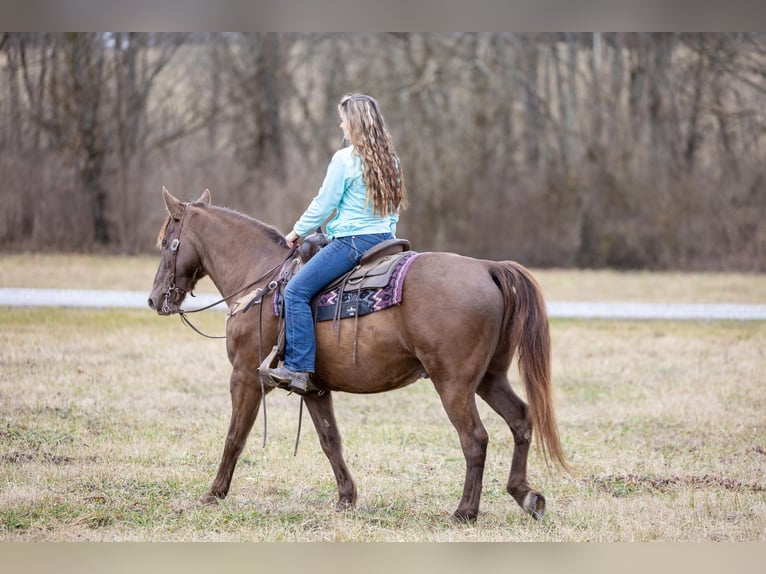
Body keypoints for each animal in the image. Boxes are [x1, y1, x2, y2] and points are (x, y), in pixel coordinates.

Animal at [148, 190, 568, 528]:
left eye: (167, 243)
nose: (154, 299)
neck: (261, 282)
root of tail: (487, 267)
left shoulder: (246, 377)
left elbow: (235, 436)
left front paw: (214, 493)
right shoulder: (314, 389)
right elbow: (330, 439)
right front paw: (346, 498)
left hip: (454, 384)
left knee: (475, 439)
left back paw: (465, 512)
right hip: (489, 378)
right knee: (521, 419)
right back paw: (525, 495)